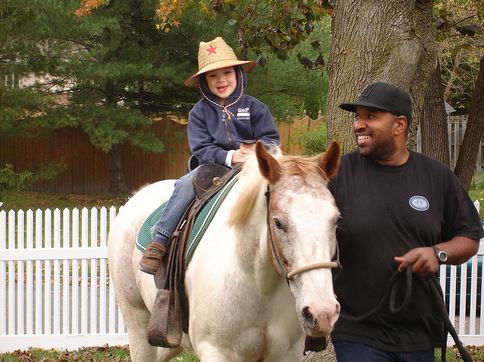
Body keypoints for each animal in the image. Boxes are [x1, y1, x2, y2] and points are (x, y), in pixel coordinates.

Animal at [108, 141, 342, 362]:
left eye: (335, 220)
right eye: (278, 223)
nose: (322, 312)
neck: (258, 284)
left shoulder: (286, 354)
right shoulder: (215, 352)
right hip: (138, 327)